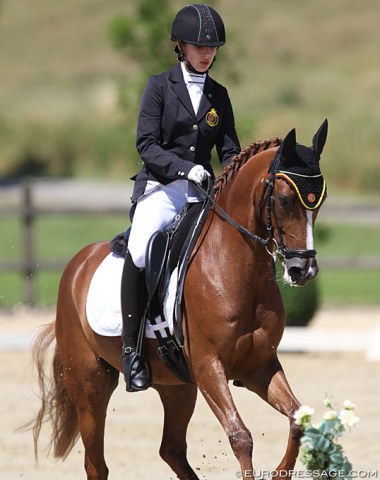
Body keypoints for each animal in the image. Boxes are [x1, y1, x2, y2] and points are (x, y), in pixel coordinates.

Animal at [30, 120, 326, 480]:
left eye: (320, 201)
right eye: (284, 199)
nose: (302, 270)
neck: (233, 266)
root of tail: (77, 265)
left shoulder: (258, 365)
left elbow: (299, 419)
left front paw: (281, 470)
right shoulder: (208, 366)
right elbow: (240, 436)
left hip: (177, 387)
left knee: (170, 449)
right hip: (90, 385)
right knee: (96, 463)